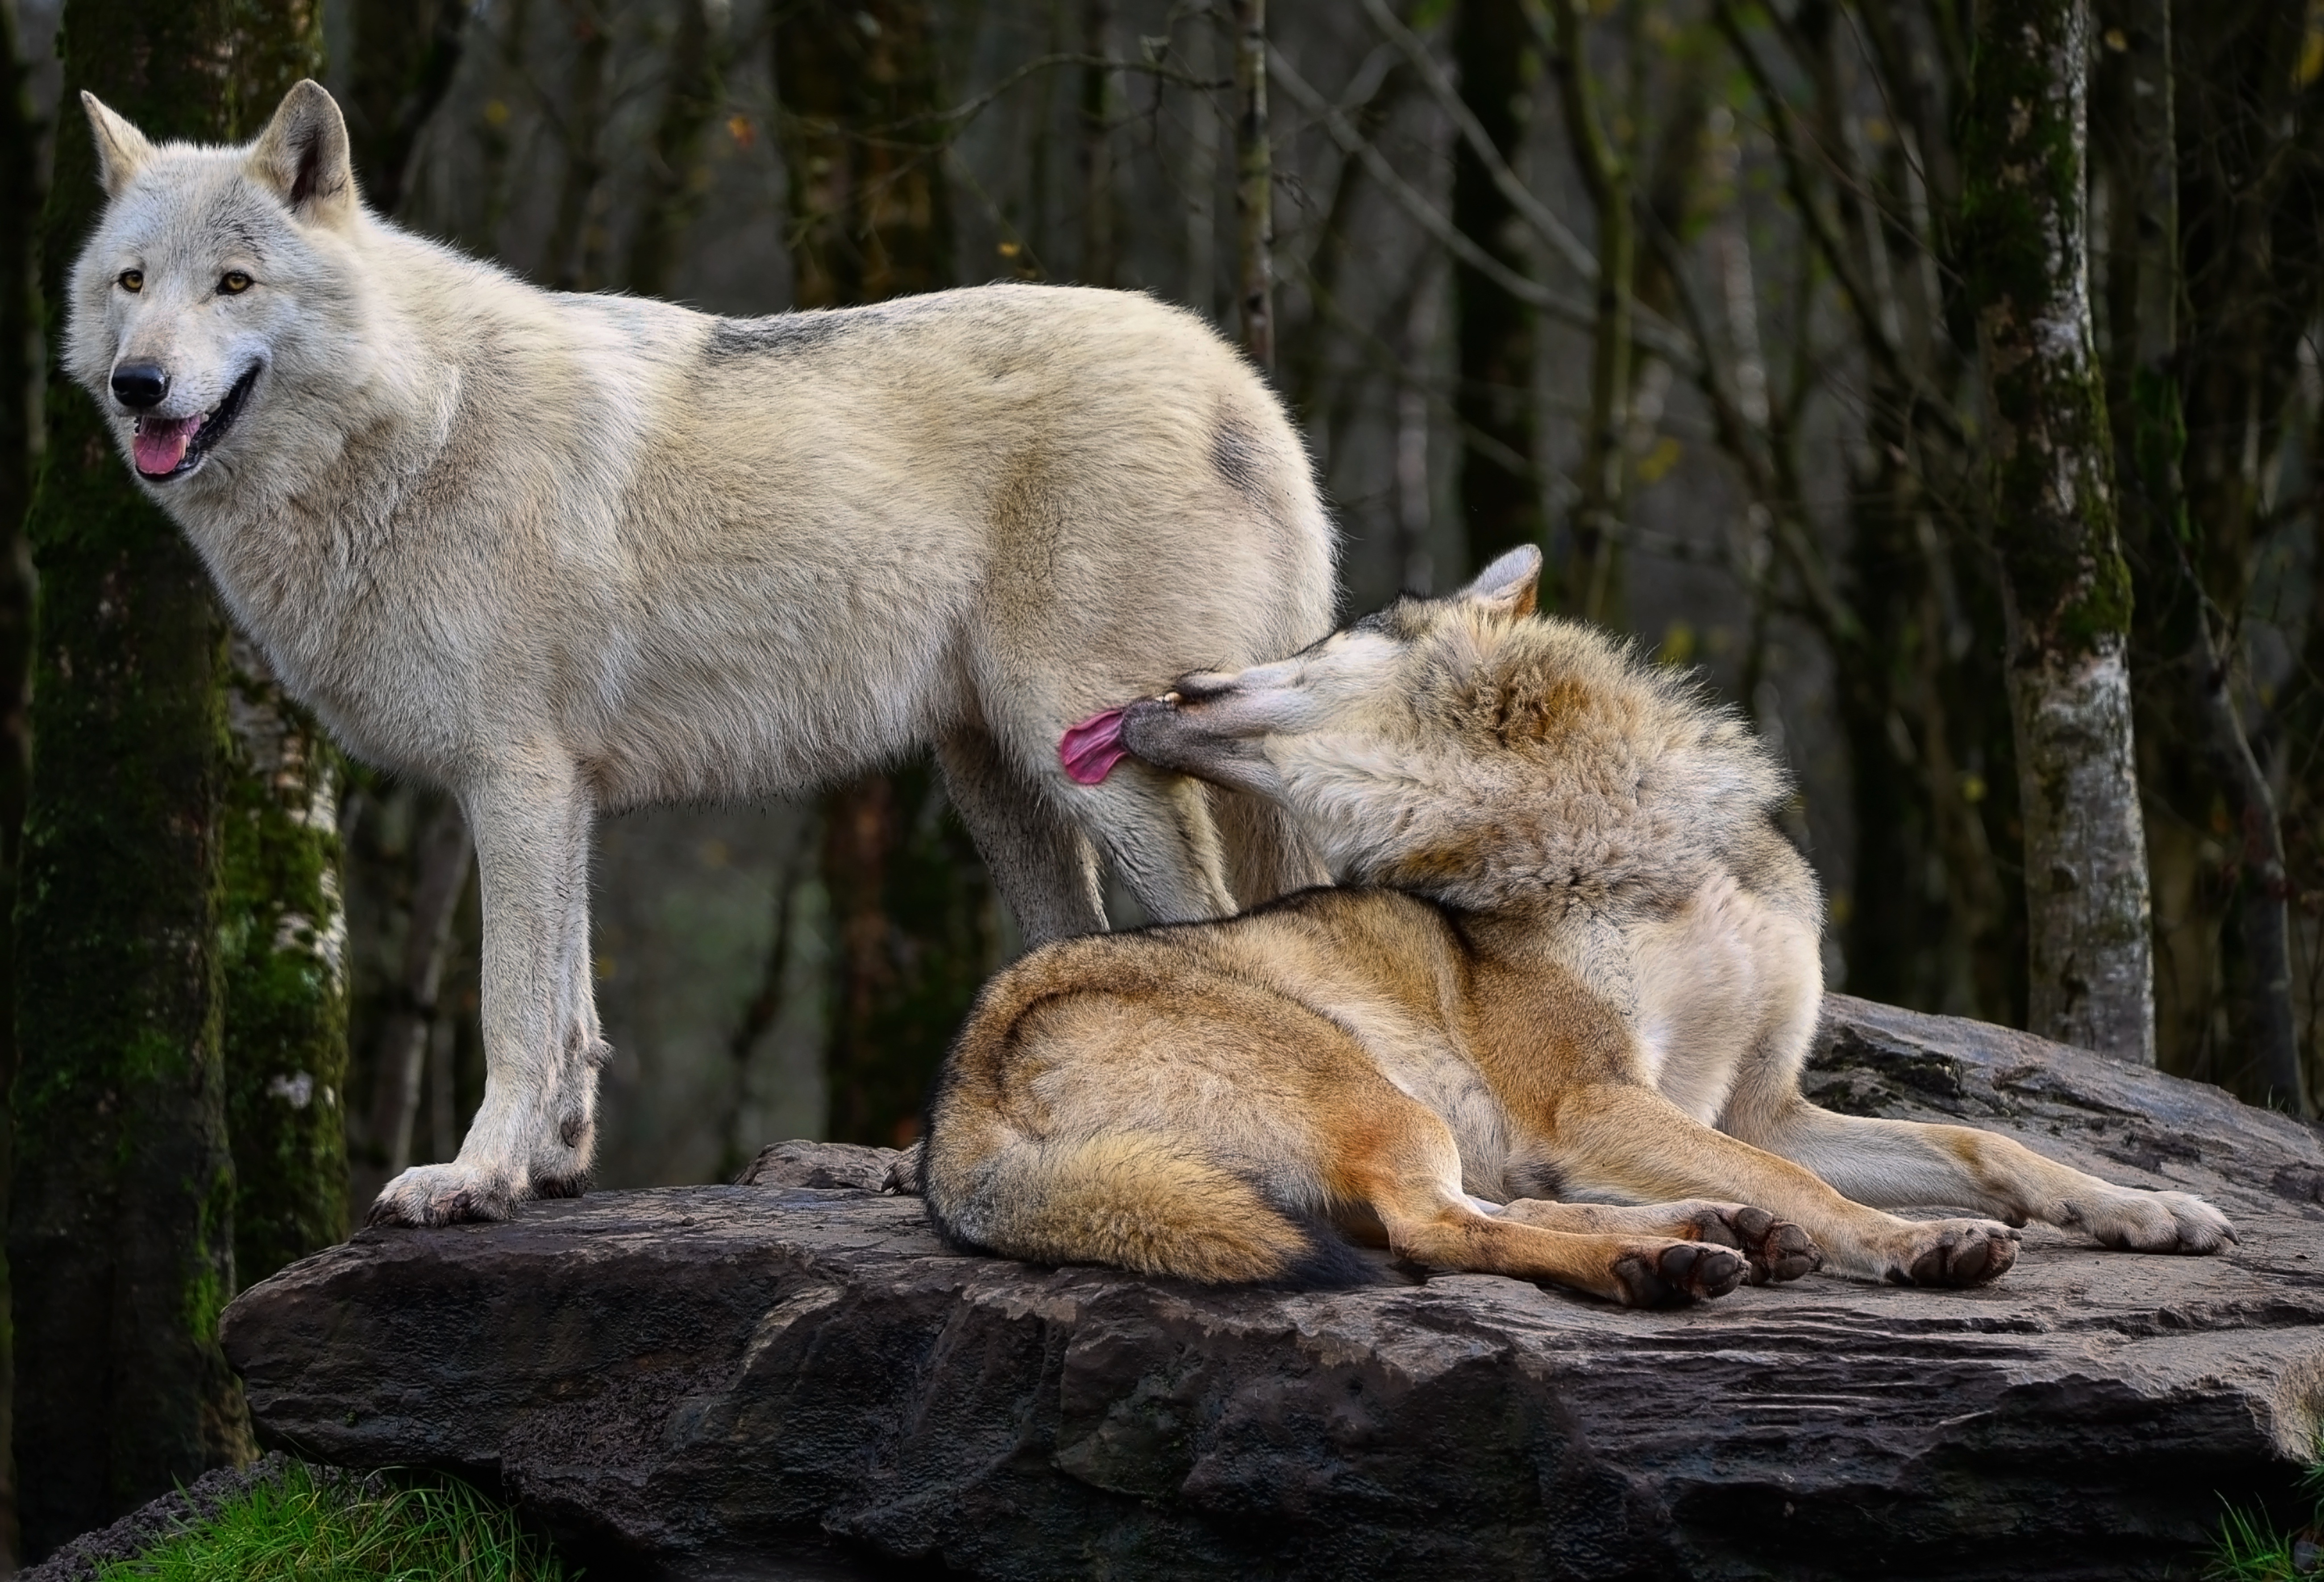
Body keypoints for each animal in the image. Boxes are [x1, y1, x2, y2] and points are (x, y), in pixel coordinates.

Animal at [66, 82, 1334, 1226]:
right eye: (132, 284)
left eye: (234, 285)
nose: (139, 384)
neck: (417, 425)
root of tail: (1245, 388)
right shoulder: (561, 792)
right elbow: (573, 1012)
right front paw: (549, 1169)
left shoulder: (514, 777)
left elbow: (513, 1013)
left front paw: (470, 1178)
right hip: (1002, 783)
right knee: (1082, 947)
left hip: (1097, 755)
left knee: (1219, 929)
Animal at [920, 548, 2235, 1304]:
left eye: (1310, 643)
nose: (1155, 685)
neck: (1603, 836)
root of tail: (952, 1121)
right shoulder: (1597, 1099)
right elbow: (1813, 1182)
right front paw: (1915, 1245)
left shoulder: (1753, 1101)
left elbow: (1980, 1144)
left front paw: (2140, 1207)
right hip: (1377, 1096)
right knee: (1433, 1231)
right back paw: (1655, 1260)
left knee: (1479, 1215)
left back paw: (1707, 1232)